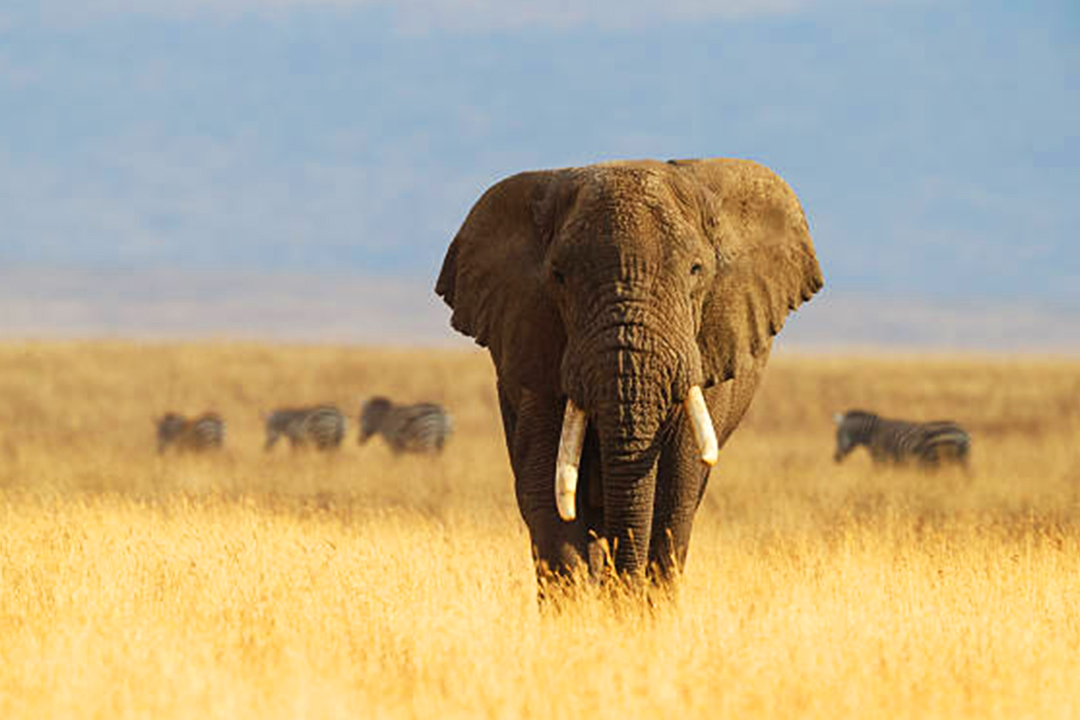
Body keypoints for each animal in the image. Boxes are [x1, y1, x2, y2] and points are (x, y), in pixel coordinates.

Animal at [829, 408, 976, 470]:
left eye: (838, 435)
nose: (835, 458)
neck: (873, 434)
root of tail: (962, 432)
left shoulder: (881, 459)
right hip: (961, 460)